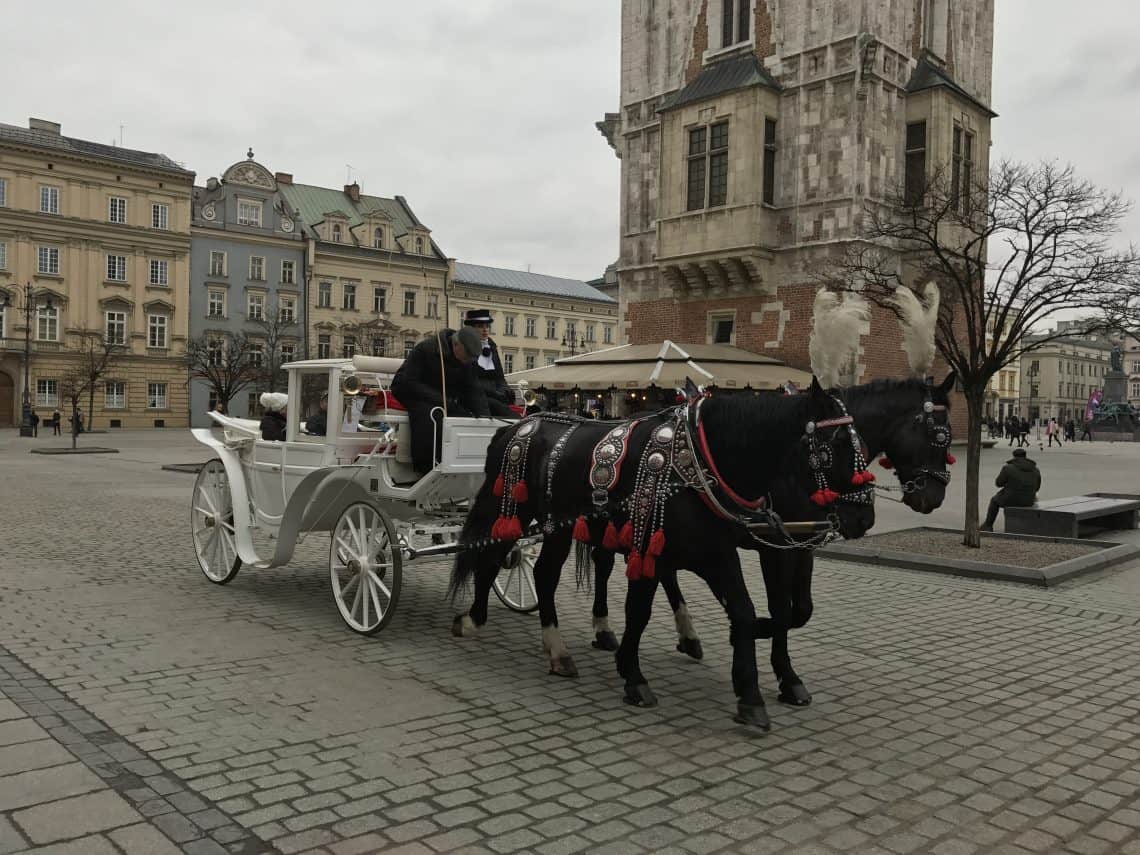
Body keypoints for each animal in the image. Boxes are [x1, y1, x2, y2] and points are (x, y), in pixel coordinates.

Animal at [449, 380, 875, 729]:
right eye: (836, 445)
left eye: (865, 445)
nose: (864, 518)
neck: (697, 462)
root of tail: (516, 425)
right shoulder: (653, 545)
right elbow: (639, 612)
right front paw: (634, 676)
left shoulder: (717, 552)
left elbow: (744, 610)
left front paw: (750, 693)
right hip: (513, 509)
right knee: (492, 556)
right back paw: (474, 619)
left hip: (558, 526)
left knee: (543, 575)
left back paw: (554, 649)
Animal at [588, 376, 953, 711]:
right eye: (938, 436)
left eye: (947, 439)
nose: (933, 497)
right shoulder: (772, 546)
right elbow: (780, 610)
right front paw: (775, 664)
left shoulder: (801, 546)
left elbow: (801, 609)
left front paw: (771, 656)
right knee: (605, 566)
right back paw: (604, 629)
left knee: (664, 572)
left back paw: (687, 635)